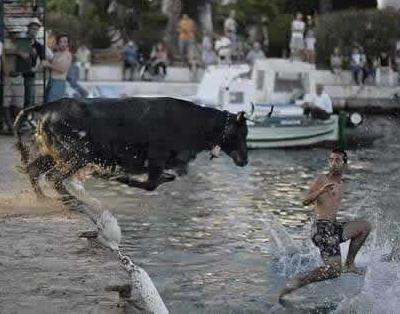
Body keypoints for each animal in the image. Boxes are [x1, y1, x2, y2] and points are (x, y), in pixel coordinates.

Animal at [14, 97, 248, 197]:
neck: (193, 122)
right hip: (78, 155)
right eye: (241, 133)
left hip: (53, 154)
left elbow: (164, 179)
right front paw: (117, 177)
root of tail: (46, 106)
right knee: (54, 177)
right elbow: (151, 184)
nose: (245, 161)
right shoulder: (156, 160)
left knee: (34, 169)